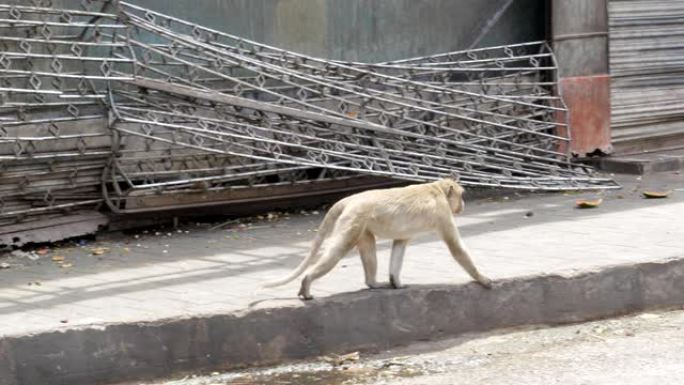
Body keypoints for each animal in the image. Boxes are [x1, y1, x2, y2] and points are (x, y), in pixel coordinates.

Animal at [262, 177, 492, 300]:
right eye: (461, 195)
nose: (463, 205)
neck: (436, 189)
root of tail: (350, 199)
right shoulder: (442, 213)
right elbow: (456, 248)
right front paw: (482, 278)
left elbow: (399, 244)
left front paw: (396, 282)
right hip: (353, 219)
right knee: (339, 249)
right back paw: (308, 281)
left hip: (359, 223)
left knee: (367, 244)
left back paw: (372, 283)